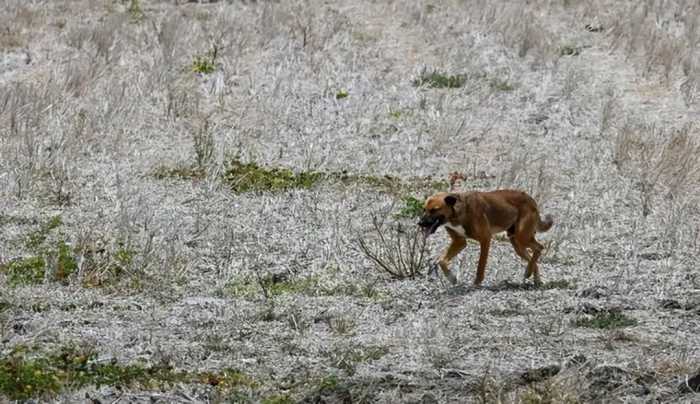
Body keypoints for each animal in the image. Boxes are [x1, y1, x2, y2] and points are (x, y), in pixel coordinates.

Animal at [418, 191, 556, 286]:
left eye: (434, 210)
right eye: (424, 209)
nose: (420, 223)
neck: (458, 213)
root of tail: (531, 200)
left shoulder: (485, 239)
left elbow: (481, 265)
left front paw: (477, 282)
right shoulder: (459, 242)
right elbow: (441, 261)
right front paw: (451, 277)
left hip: (522, 237)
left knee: (540, 247)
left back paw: (529, 272)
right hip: (517, 243)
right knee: (533, 255)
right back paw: (534, 277)